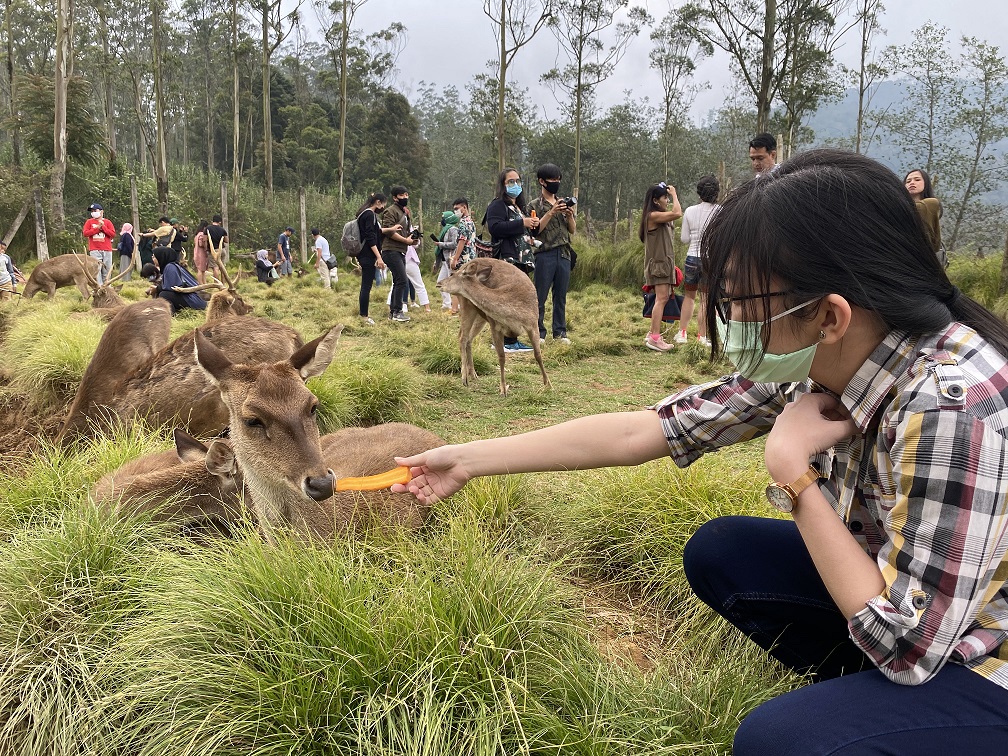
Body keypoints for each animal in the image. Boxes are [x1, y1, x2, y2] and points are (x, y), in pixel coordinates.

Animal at [439, 258, 552, 397]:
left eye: (451, 274)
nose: (439, 283)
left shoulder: (533, 324)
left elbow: (538, 354)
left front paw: (548, 384)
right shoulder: (495, 325)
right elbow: (501, 357)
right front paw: (503, 389)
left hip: (481, 316)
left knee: (469, 338)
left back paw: (473, 374)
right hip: (467, 306)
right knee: (462, 337)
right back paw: (464, 378)